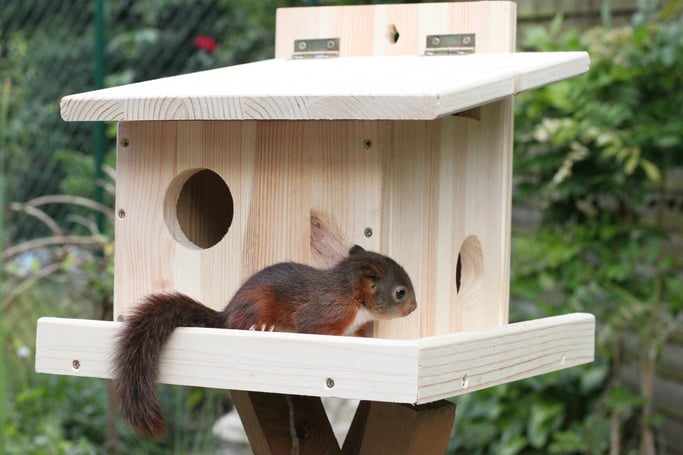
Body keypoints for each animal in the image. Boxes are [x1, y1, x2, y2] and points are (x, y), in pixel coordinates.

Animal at [112, 245, 417, 439]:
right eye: (400, 293)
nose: (415, 307)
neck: (350, 294)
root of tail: (225, 314)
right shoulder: (325, 312)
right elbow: (315, 330)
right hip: (255, 306)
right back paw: (260, 327)